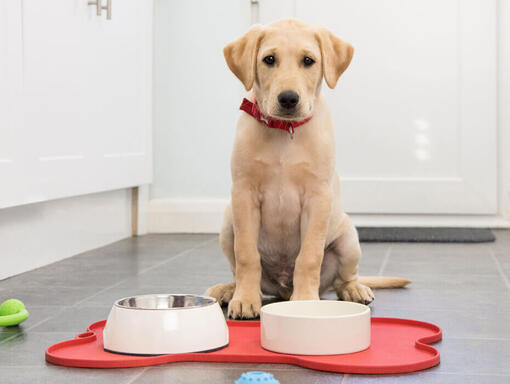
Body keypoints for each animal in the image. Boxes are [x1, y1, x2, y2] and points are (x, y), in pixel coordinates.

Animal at [205, 18, 408, 318]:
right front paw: (245, 299)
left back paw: (353, 289)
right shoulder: (243, 195)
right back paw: (229, 290)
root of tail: (282, 288)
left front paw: (304, 302)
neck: (285, 131)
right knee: (238, 269)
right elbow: (247, 256)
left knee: (344, 278)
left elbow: (309, 257)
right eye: (269, 59)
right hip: (228, 226)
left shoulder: (317, 198)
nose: (288, 99)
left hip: (349, 239)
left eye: (308, 61)